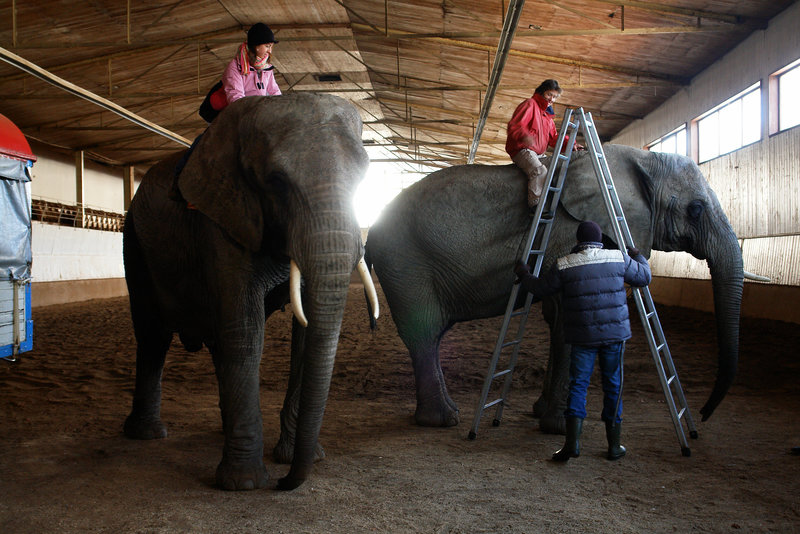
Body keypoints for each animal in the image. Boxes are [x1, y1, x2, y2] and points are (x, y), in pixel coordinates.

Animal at [122, 94, 378, 492]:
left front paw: (294, 458)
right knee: (153, 336)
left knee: (214, 340)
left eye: (364, 178)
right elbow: (246, 329)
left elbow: (304, 334)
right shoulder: (220, 219)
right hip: (133, 238)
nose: (284, 484)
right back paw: (146, 434)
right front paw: (244, 483)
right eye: (276, 182)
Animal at [368, 143, 744, 436]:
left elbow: (556, 316)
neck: (641, 159)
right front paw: (561, 428)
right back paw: (443, 420)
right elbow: (568, 315)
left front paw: (541, 412)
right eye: (695, 209)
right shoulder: (567, 232)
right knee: (424, 332)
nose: (704, 417)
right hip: (405, 264)